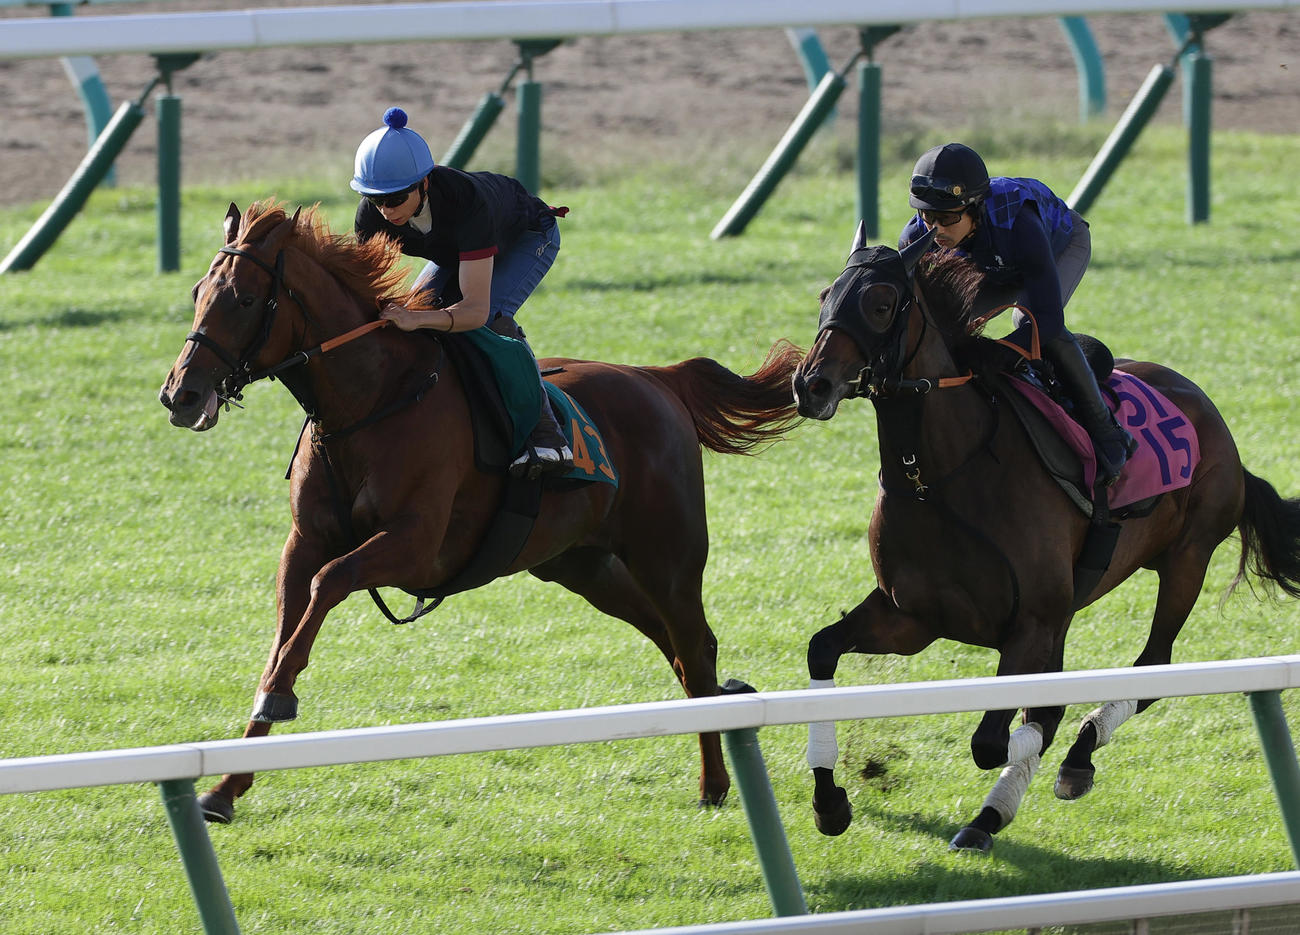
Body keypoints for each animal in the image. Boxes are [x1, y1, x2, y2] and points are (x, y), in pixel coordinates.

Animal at [159, 200, 803, 823]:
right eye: (197, 292)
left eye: (244, 300)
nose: (180, 396)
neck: (372, 400)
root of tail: (657, 379)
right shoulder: (303, 542)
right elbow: (287, 625)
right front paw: (226, 785)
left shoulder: (415, 543)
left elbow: (329, 582)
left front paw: (280, 696)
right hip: (584, 566)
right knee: (678, 649)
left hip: (666, 557)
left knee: (694, 646)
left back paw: (716, 781)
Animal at [790, 221, 1300, 853]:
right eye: (825, 297)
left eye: (881, 304)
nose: (811, 385)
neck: (938, 478)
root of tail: (1208, 412)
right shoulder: (909, 618)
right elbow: (823, 648)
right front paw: (829, 801)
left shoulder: (1029, 625)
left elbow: (1001, 736)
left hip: (1187, 558)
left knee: (1151, 667)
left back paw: (1070, 763)